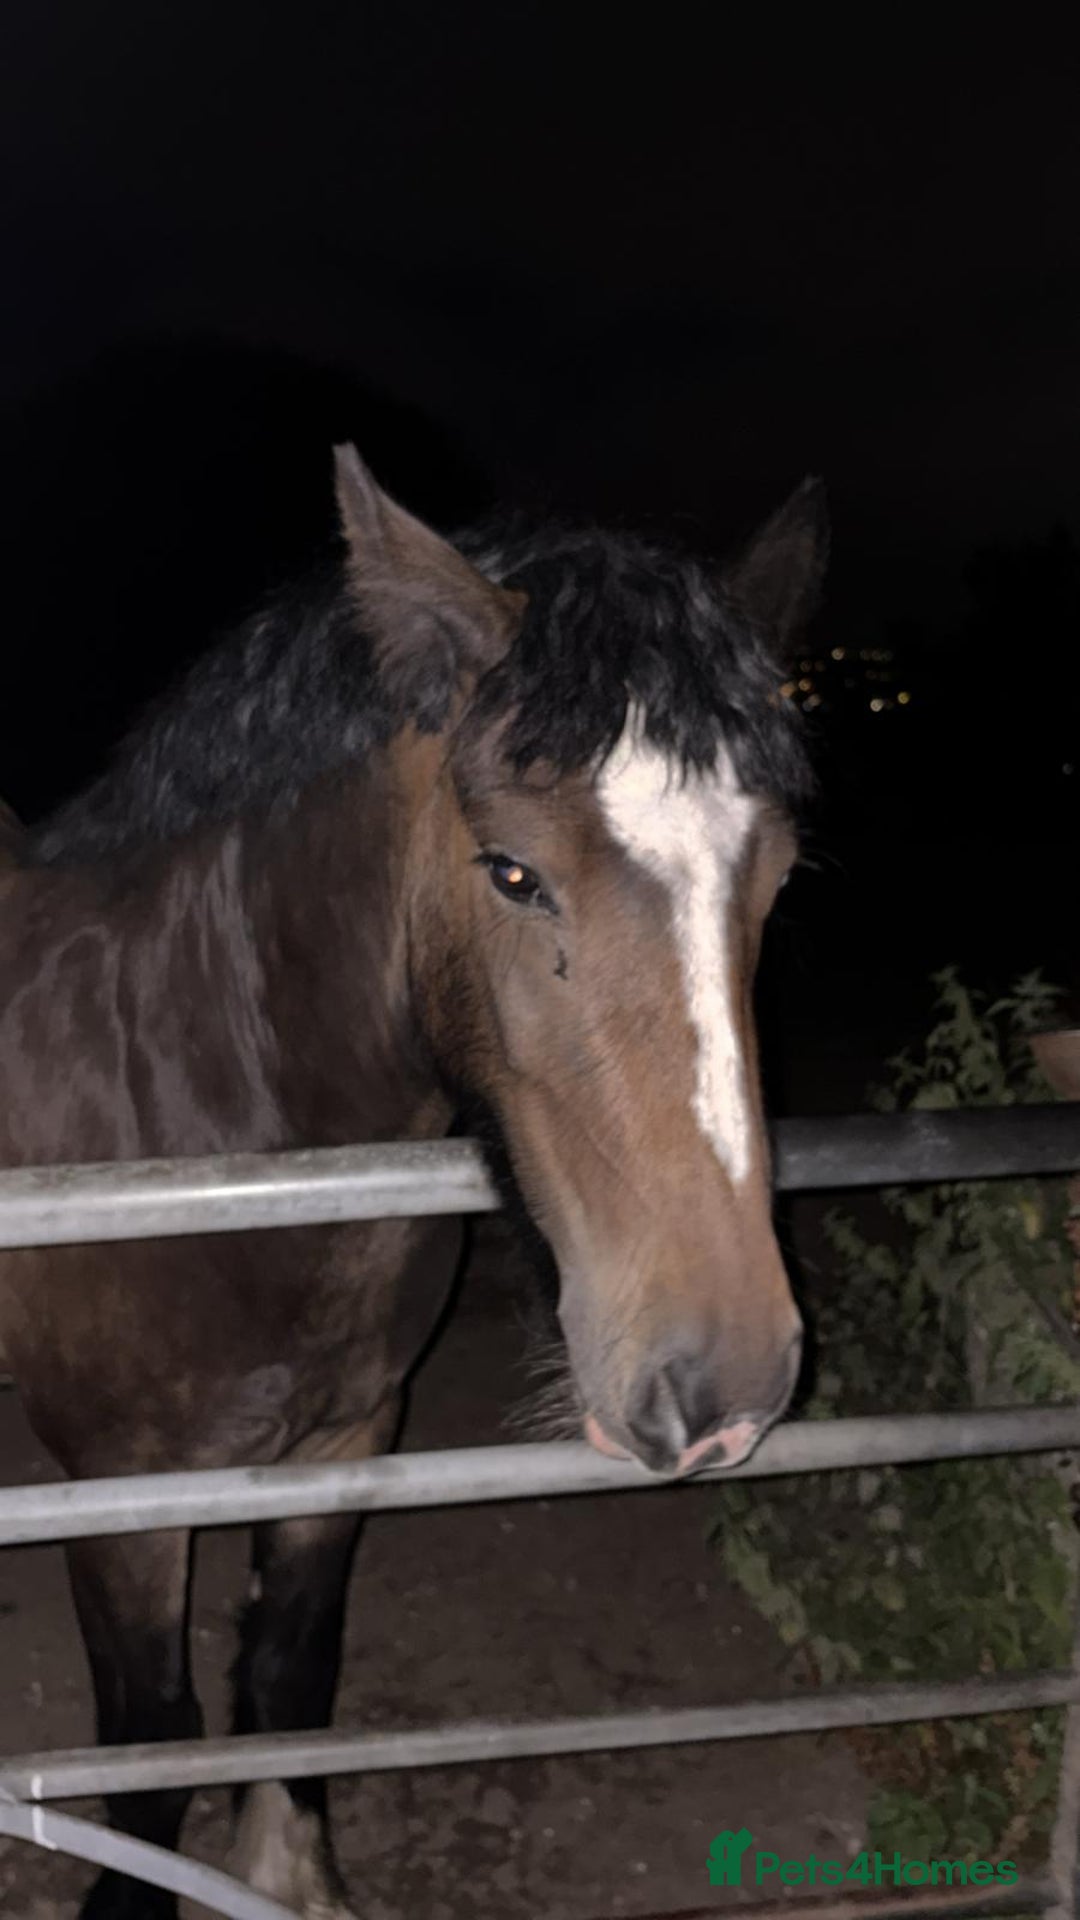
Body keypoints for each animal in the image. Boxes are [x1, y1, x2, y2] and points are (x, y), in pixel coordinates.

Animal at [0, 446, 826, 1919]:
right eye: (512, 870)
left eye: (776, 878)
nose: (724, 1382)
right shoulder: (119, 1496)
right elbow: (153, 1750)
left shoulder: (346, 1448)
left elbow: (289, 1680)